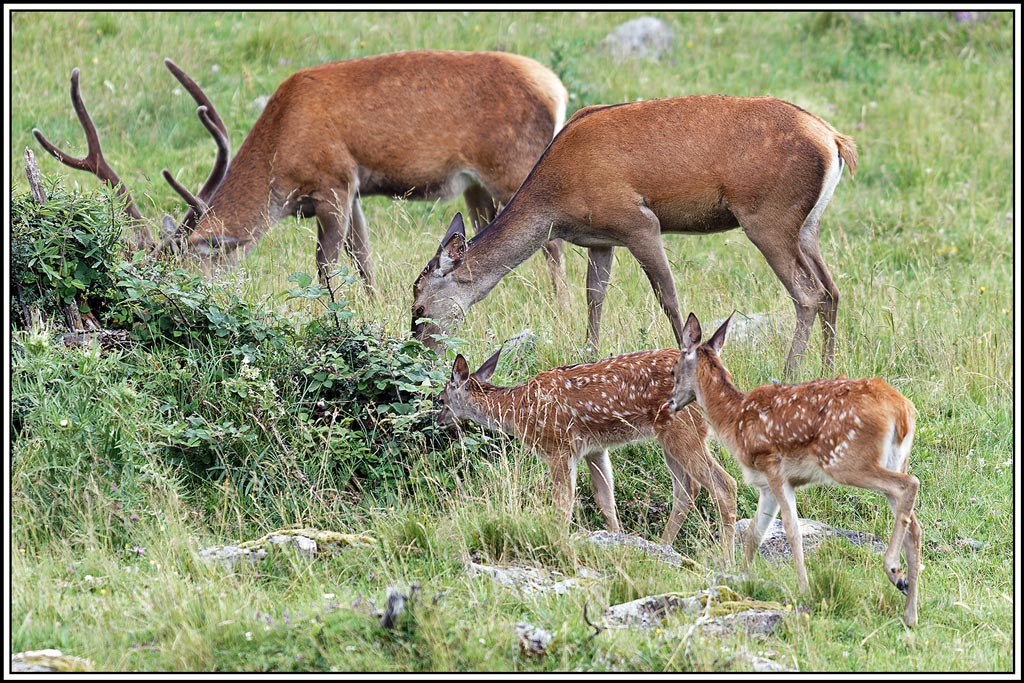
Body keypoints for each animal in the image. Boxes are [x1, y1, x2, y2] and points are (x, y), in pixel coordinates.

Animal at [33, 50, 570, 293]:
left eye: (182, 273)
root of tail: (556, 88)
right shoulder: (353, 189)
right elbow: (364, 258)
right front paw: (372, 305)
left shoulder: (331, 181)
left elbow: (326, 268)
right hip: (477, 187)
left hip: (515, 164)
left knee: (552, 242)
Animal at [411, 95, 858, 378]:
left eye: (419, 308)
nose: (420, 354)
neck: (554, 201)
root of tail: (835, 141)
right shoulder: (600, 238)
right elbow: (594, 297)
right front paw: (587, 356)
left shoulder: (637, 221)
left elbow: (669, 299)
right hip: (807, 226)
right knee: (832, 290)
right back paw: (828, 369)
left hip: (768, 216)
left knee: (808, 294)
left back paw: (789, 373)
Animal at [437, 346, 737, 558]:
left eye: (440, 399)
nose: (438, 420)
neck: (518, 408)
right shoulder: (595, 448)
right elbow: (605, 500)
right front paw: (618, 542)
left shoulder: (557, 446)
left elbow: (563, 503)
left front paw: (559, 544)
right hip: (671, 437)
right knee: (687, 489)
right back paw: (662, 546)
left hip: (683, 430)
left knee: (724, 485)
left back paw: (726, 559)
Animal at [662, 311, 921, 627]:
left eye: (673, 370)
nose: (669, 403)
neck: (733, 420)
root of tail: (903, 410)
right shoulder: (764, 484)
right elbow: (754, 533)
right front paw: (741, 579)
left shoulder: (773, 467)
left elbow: (791, 528)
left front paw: (803, 588)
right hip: (894, 458)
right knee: (914, 524)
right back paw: (910, 610)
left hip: (847, 460)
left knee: (909, 484)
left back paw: (894, 571)